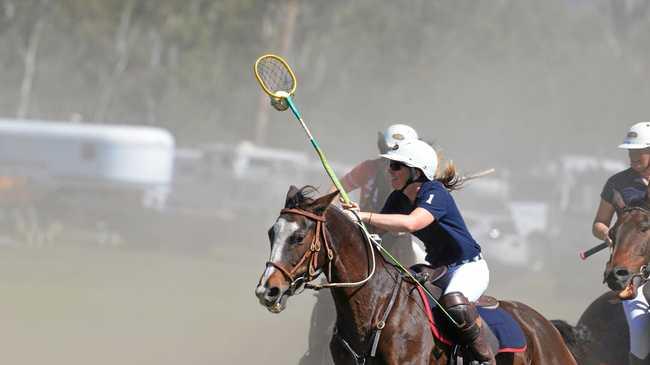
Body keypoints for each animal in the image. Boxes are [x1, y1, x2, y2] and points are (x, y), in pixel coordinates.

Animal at [256, 186, 576, 362]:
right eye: (271, 233)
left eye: (298, 237)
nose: (266, 290)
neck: (374, 308)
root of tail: (545, 327)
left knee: (456, 301)